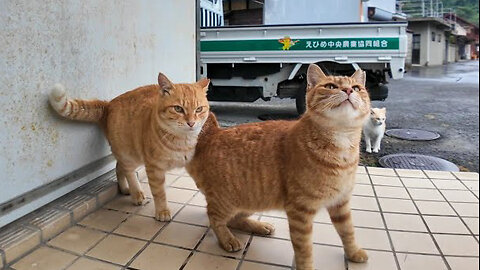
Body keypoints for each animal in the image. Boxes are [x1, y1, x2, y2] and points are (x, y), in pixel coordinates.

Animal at [49, 73, 212, 220]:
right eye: (178, 109)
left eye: (199, 109)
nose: (191, 123)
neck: (181, 141)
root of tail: (108, 104)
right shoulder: (154, 168)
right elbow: (159, 193)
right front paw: (162, 211)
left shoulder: (192, 162)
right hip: (130, 155)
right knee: (126, 170)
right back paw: (135, 193)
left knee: (118, 167)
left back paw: (125, 188)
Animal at [186, 64, 370, 268]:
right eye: (330, 86)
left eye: (356, 88)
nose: (348, 91)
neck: (342, 143)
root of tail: (212, 135)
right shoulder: (300, 212)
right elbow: (304, 249)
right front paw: (307, 266)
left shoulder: (341, 203)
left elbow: (348, 231)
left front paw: (353, 252)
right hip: (227, 201)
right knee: (214, 217)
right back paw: (228, 239)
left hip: (251, 200)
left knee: (234, 219)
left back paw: (259, 226)